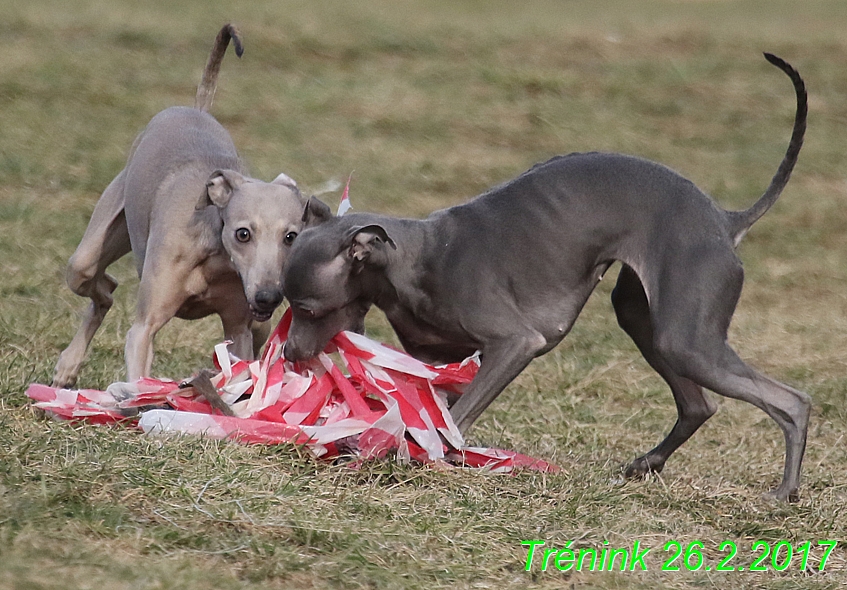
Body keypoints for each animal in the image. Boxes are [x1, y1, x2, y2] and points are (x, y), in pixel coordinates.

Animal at [53, 24, 332, 388]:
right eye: (243, 233)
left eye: (291, 236)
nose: (268, 296)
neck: (214, 257)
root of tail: (197, 109)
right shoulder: (144, 328)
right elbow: (139, 371)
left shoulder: (239, 327)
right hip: (89, 253)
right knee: (100, 284)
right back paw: (68, 365)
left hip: (260, 322)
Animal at [284, 53, 808, 502]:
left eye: (307, 307)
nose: (288, 354)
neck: (413, 258)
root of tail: (724, 220)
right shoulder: (437, 359)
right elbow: (434, 407)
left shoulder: (515, 343)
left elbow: (456, 417)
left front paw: (426, 458)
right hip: (643, 318)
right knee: (699, 405)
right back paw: (647, 464)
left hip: (688, 339)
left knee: (792, 401)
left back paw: (784, 492)